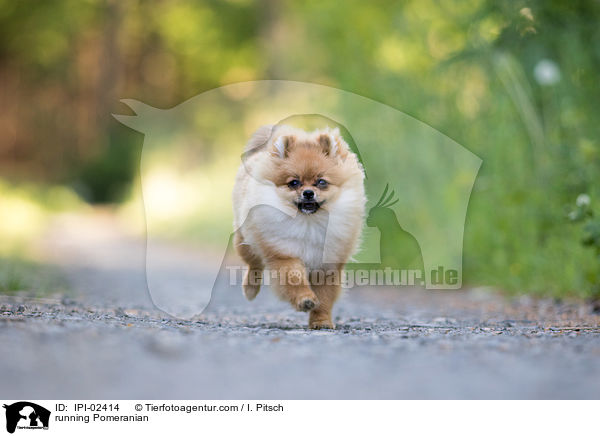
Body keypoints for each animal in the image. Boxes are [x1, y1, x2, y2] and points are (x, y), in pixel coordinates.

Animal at [233, 124, 366, 328]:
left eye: (321, 182)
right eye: (294, 183)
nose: (308, 193)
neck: (308, 222)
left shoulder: (326, 264)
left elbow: (324, 298)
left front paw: (321, 321)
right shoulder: (283, 254)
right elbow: (294, 279)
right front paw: (305, 300)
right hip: (246, 239)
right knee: (253, 264)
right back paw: (250, 289)